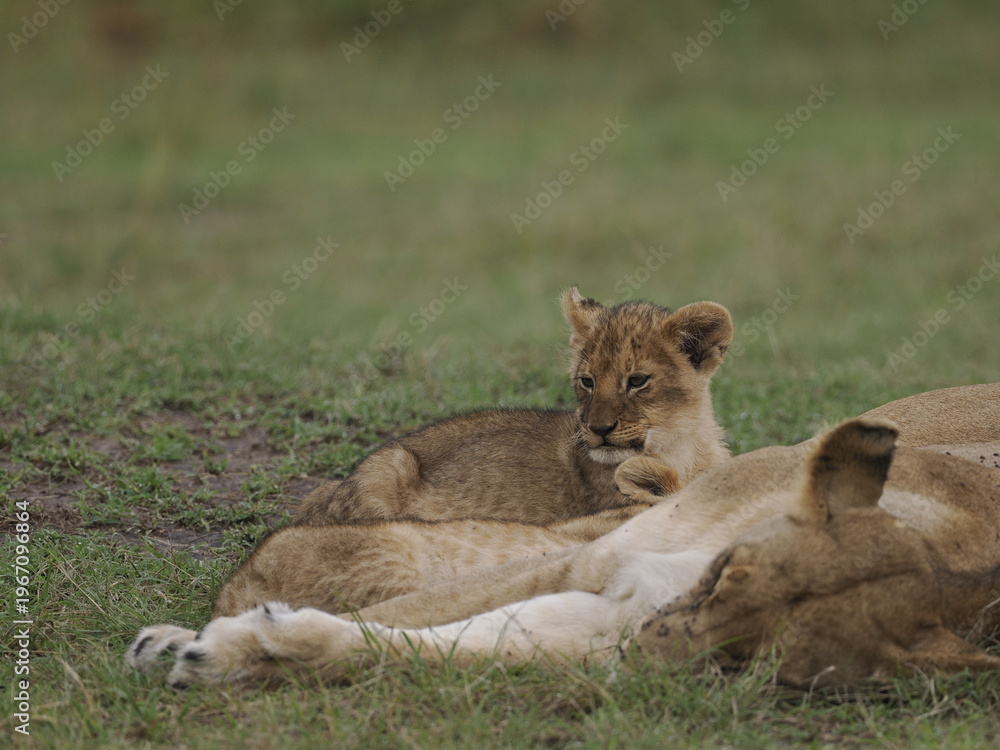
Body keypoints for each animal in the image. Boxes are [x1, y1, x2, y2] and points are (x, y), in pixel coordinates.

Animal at [127, 383, 1000, 689]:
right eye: (728, 573)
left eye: (749, 659)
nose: (644, 650)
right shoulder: (593, 559)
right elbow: (408, 616)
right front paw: (213, 643)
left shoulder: (604, 608)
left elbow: (428, 646)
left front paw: (250, 648)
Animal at [291, 287, 733, 525]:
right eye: (587, 381)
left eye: (637, 381)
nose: (598, 430)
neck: (681, 445)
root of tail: (335, 489)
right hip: (390, 466)